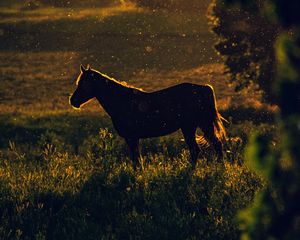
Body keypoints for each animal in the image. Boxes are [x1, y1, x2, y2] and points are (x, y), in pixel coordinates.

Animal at [69, 64, 226, 168]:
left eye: (83, 84)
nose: (73, 101)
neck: (123, 101)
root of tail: (204, 88)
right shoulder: (133, 138)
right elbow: (137, 159)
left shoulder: (132, 138)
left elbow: (136, 160)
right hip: (193, 127)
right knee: (200, 148)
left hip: (197, 125)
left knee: (212, 146)